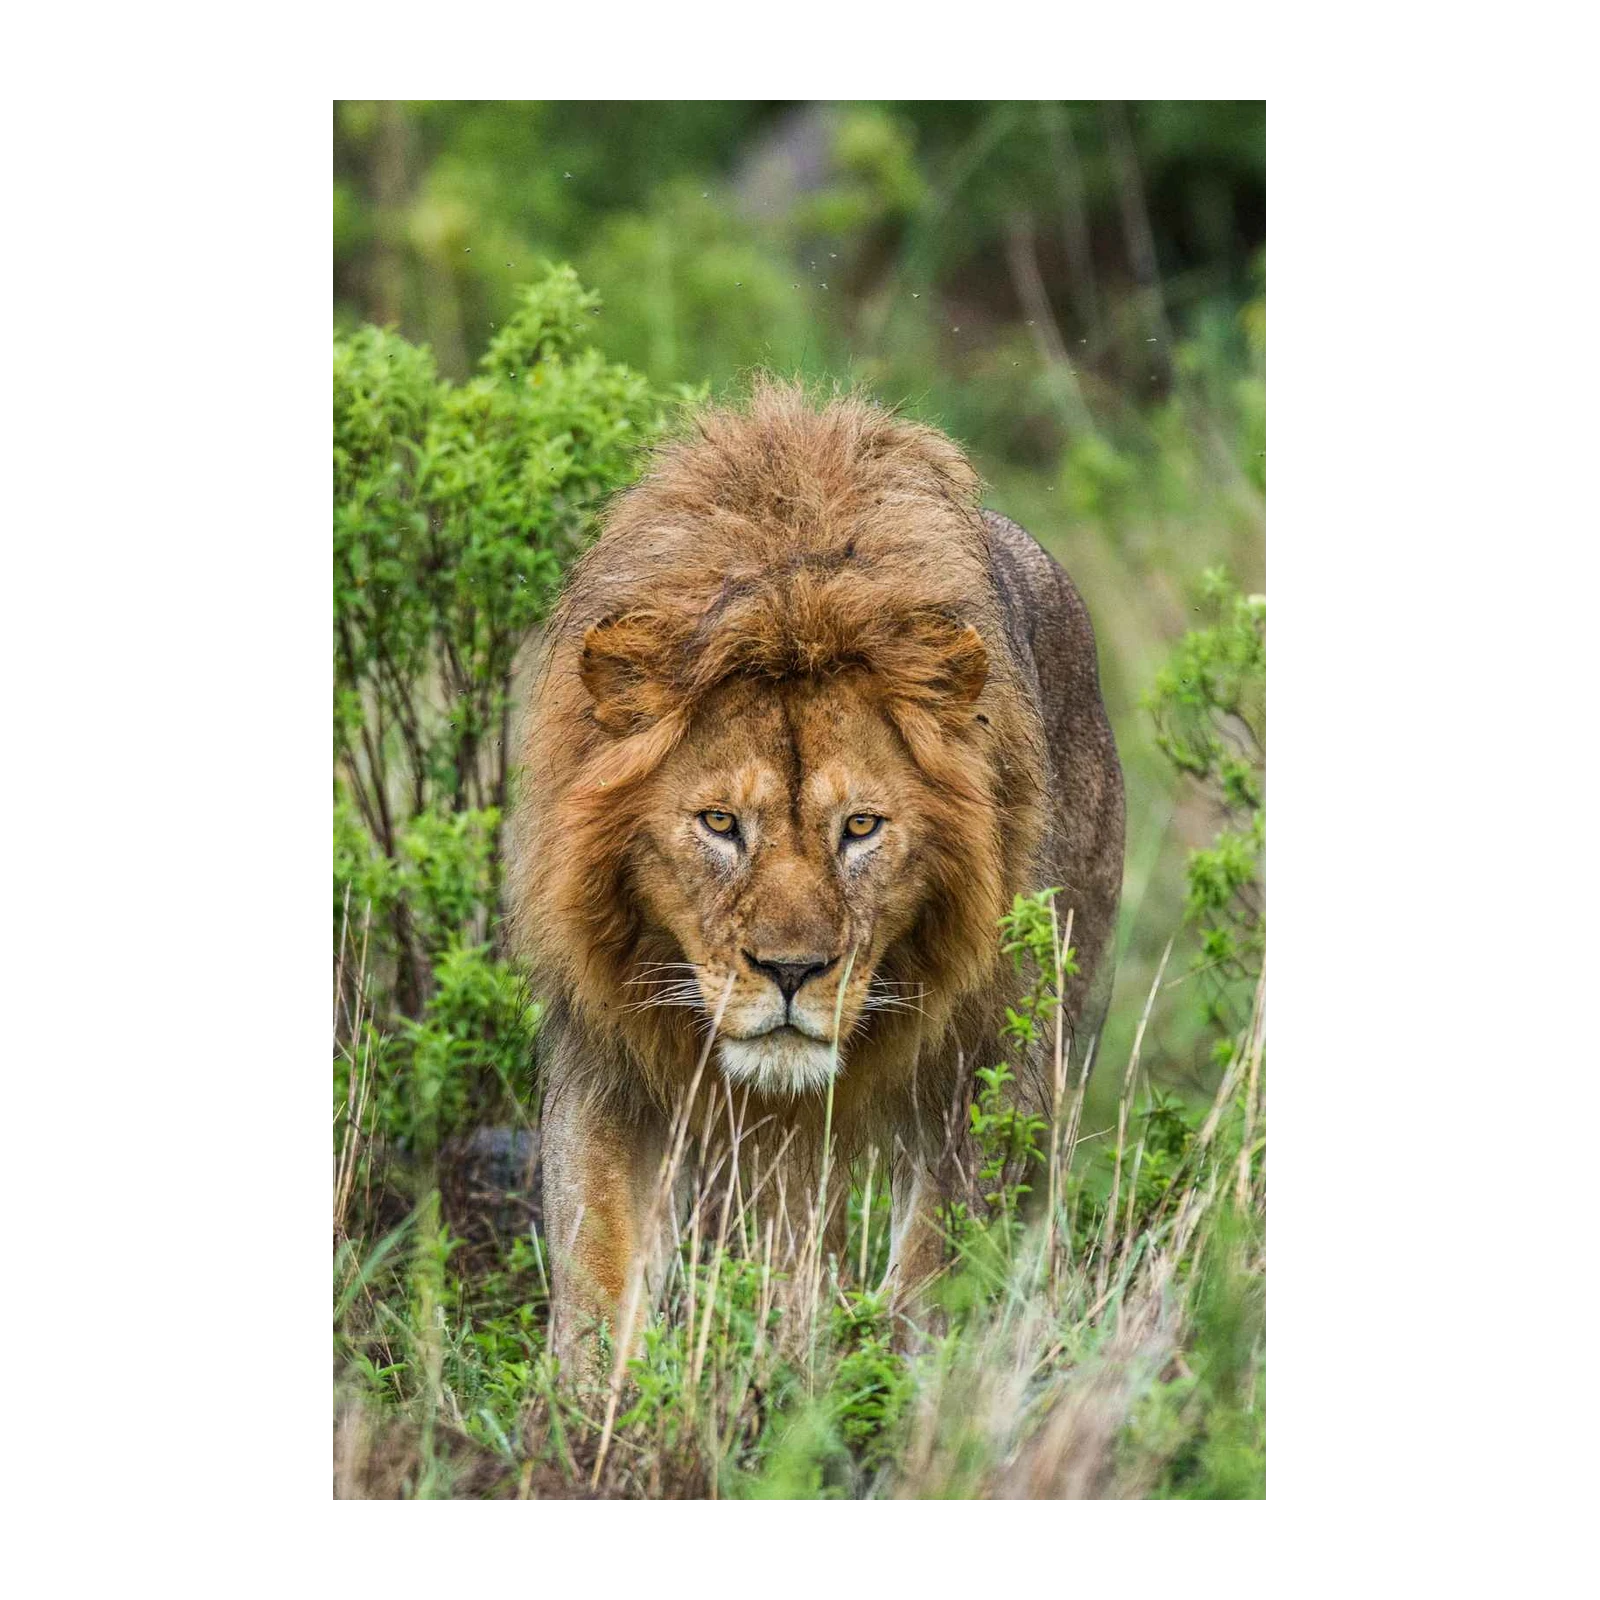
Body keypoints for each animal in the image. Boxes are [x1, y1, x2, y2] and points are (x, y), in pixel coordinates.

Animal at [508, 379, 1124, 1381]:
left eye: (861, 828)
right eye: (721, 824)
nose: (792, 973)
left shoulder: (993, 1067)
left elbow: (937, 1269)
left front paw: (900, 1393)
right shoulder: (607, 1057)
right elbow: (596, 1254)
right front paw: (585, 1403)